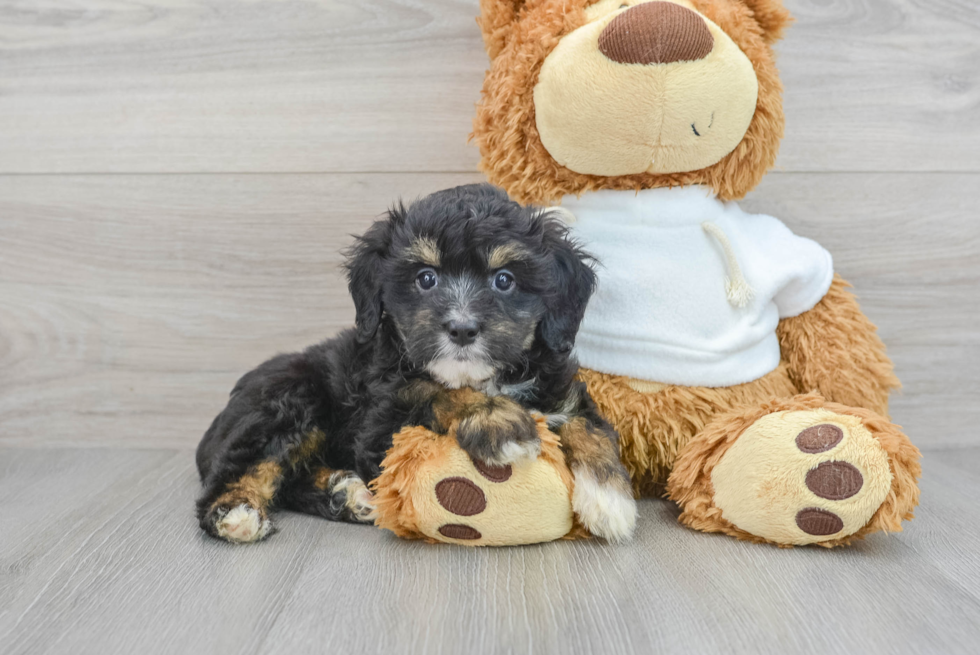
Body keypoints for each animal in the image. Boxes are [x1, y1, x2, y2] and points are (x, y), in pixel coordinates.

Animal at [195, 183, 640, 544]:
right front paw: (498, 421)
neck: (484, 378)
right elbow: (435, 393)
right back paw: (236, 512)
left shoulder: (560, 391)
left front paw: (609, 499)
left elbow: (589, 426)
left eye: (504, 279)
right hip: (289, 399)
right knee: (245, 467)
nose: (462, 329)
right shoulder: (380, 424)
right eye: (426, 278)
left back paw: (345, 493)